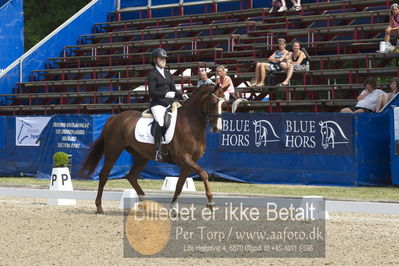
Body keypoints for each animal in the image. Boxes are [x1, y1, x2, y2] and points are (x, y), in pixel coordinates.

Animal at [79, 85, 227, 214]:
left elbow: (179, 186)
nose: (217, 128)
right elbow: (204, 174)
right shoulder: (184, 159)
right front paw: (211, 203)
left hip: (141, 156)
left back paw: (145, 204)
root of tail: (114, 117)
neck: (190, 124)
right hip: (113, 150)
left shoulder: (189, 163)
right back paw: (99, 208)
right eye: (214, 102)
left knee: (131, 176)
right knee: (104, 175)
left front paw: (173, 209)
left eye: (224, 104)